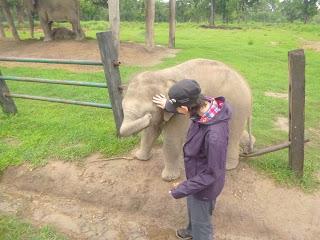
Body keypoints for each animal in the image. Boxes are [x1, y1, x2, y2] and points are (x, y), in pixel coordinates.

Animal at [119, 59, 252, 181]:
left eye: (148, 112)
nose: (147, 117)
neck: (162, 75)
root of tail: (246, 85)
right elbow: (150, 132)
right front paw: (140, 157)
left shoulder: (179, 112)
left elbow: (171, 139)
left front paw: (169, 178)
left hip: (237, 106)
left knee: (232, 134)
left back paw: (227, 167)